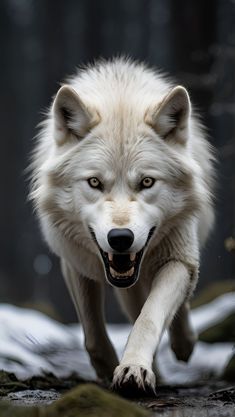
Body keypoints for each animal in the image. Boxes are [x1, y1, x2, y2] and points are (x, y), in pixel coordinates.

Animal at [30, 57, 216, 394]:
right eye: (94, 182)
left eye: (147, 182)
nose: (120, 238)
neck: (120, 99)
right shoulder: (75, 264)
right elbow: (92, 331)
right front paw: (107, 367)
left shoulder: (177, 258)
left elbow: (150, 317)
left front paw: (134, 369)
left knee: (175, 304)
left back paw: (183, 345)